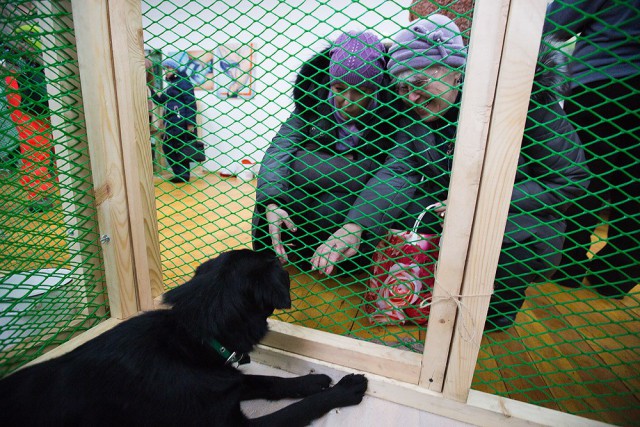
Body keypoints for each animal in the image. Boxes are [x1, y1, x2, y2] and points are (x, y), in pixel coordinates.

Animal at [0, 249, 364, 426]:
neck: (194, 337)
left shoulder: (227, 379)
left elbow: (268, 381)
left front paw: (312, 380)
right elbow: (299, 409)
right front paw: (343, 390)